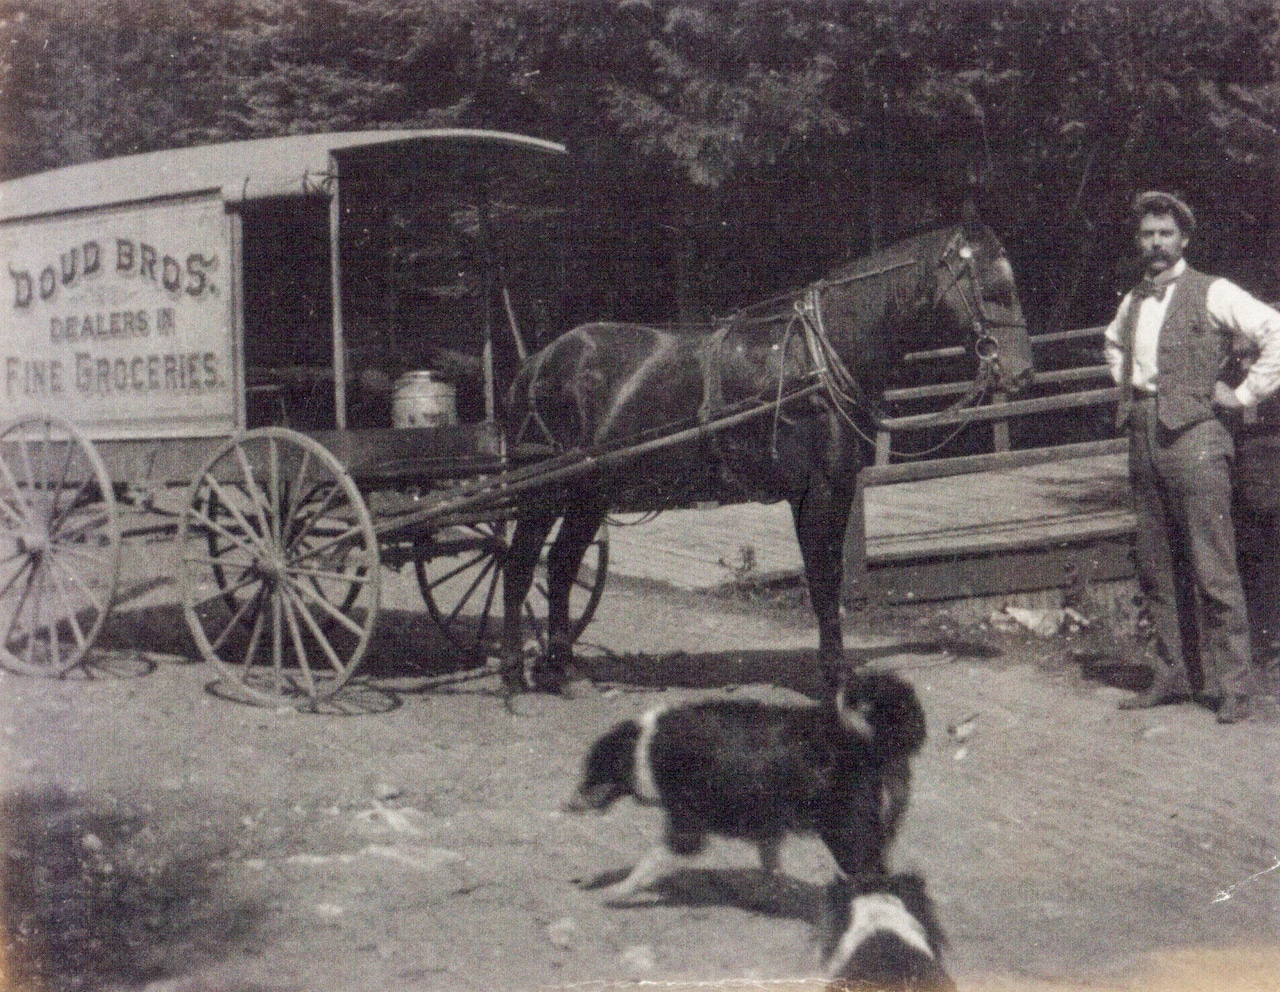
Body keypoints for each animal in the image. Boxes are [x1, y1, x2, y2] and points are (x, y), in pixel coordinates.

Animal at [494, 220, 1034, 696]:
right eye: (993, 287)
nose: (1023, 373)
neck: (819, 355)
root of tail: (537, 362)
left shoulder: (828, 490)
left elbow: (829, 577)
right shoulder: (819, 491)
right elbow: (824, 581)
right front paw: (835, 680)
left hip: (590, 492)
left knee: (560, 566)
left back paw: (560, 670)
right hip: (545, 492)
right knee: (519, 565)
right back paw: (514, 671)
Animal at [565, 670, 926, 906]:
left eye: (593, 770)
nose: (567, 805)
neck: (648, 747)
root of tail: (872, 744)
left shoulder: (687, 828)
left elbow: (647, 864)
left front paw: (616, 891)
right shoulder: (766, 823)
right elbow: (771, 868)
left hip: (847, 835)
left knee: (875, 880)